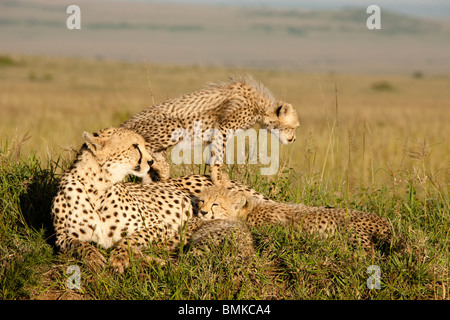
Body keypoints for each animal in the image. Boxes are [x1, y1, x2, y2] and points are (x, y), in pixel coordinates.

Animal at [50, 127, 268, 272]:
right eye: (135, 146)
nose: (151, 161)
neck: (97, 188)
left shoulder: (161, 226)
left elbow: (130, 239)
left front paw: (119, 257)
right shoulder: (62, 238)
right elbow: (79, 244)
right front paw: (94, 257)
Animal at [121, 73, 300, 182]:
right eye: (294, 127)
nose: (294, 139)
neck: (261, 107)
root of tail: (124, 124)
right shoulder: (223, 127)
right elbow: (218, 156)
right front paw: (218, 179)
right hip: (172, 127)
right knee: (144, 148)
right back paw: (162, 168)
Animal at [196, 185, 390, 252]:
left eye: (215, 204)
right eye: (202, 201)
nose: (203, 212)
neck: (249, 211)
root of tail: (384, 221)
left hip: (353, 233)